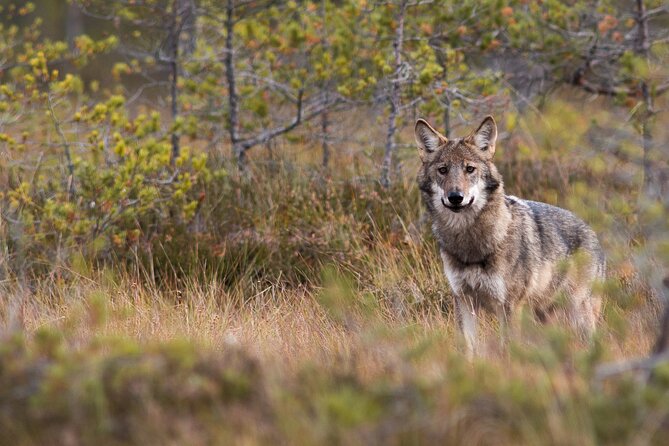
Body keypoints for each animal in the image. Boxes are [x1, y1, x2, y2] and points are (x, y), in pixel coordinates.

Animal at [414, 116, 605, 356]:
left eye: (469, 169)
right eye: (443, 170)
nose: (456, 197)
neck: (471, 245)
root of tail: (592, 231)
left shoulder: (509, 306)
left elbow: (507, 351)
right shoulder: (463, 301)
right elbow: (467, 349)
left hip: (578, 315)